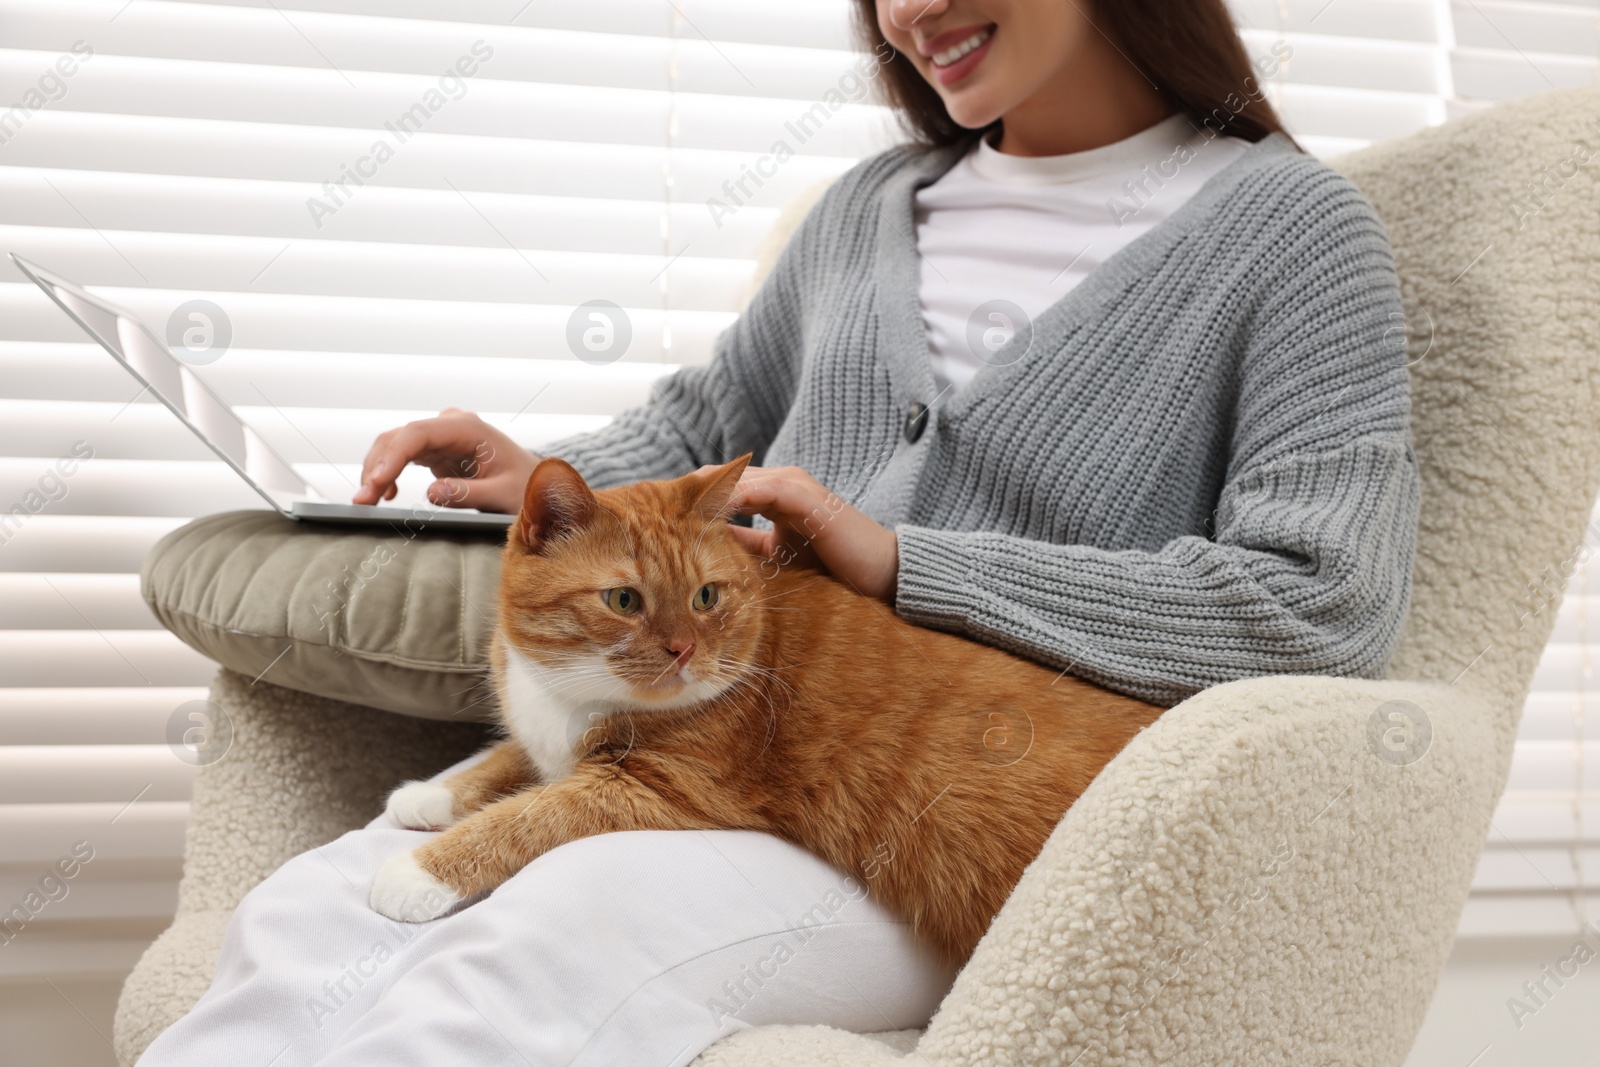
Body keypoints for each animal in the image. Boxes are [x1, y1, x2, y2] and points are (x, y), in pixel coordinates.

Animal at [374, 454, 1171, 966]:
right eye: (624, 600)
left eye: (706, 595)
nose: (683, 651)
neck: (575, 691)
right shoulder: (553, 743)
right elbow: (507, 762)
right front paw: (429, 796)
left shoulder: (654, 788)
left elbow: (527, 814)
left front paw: (415, 872)